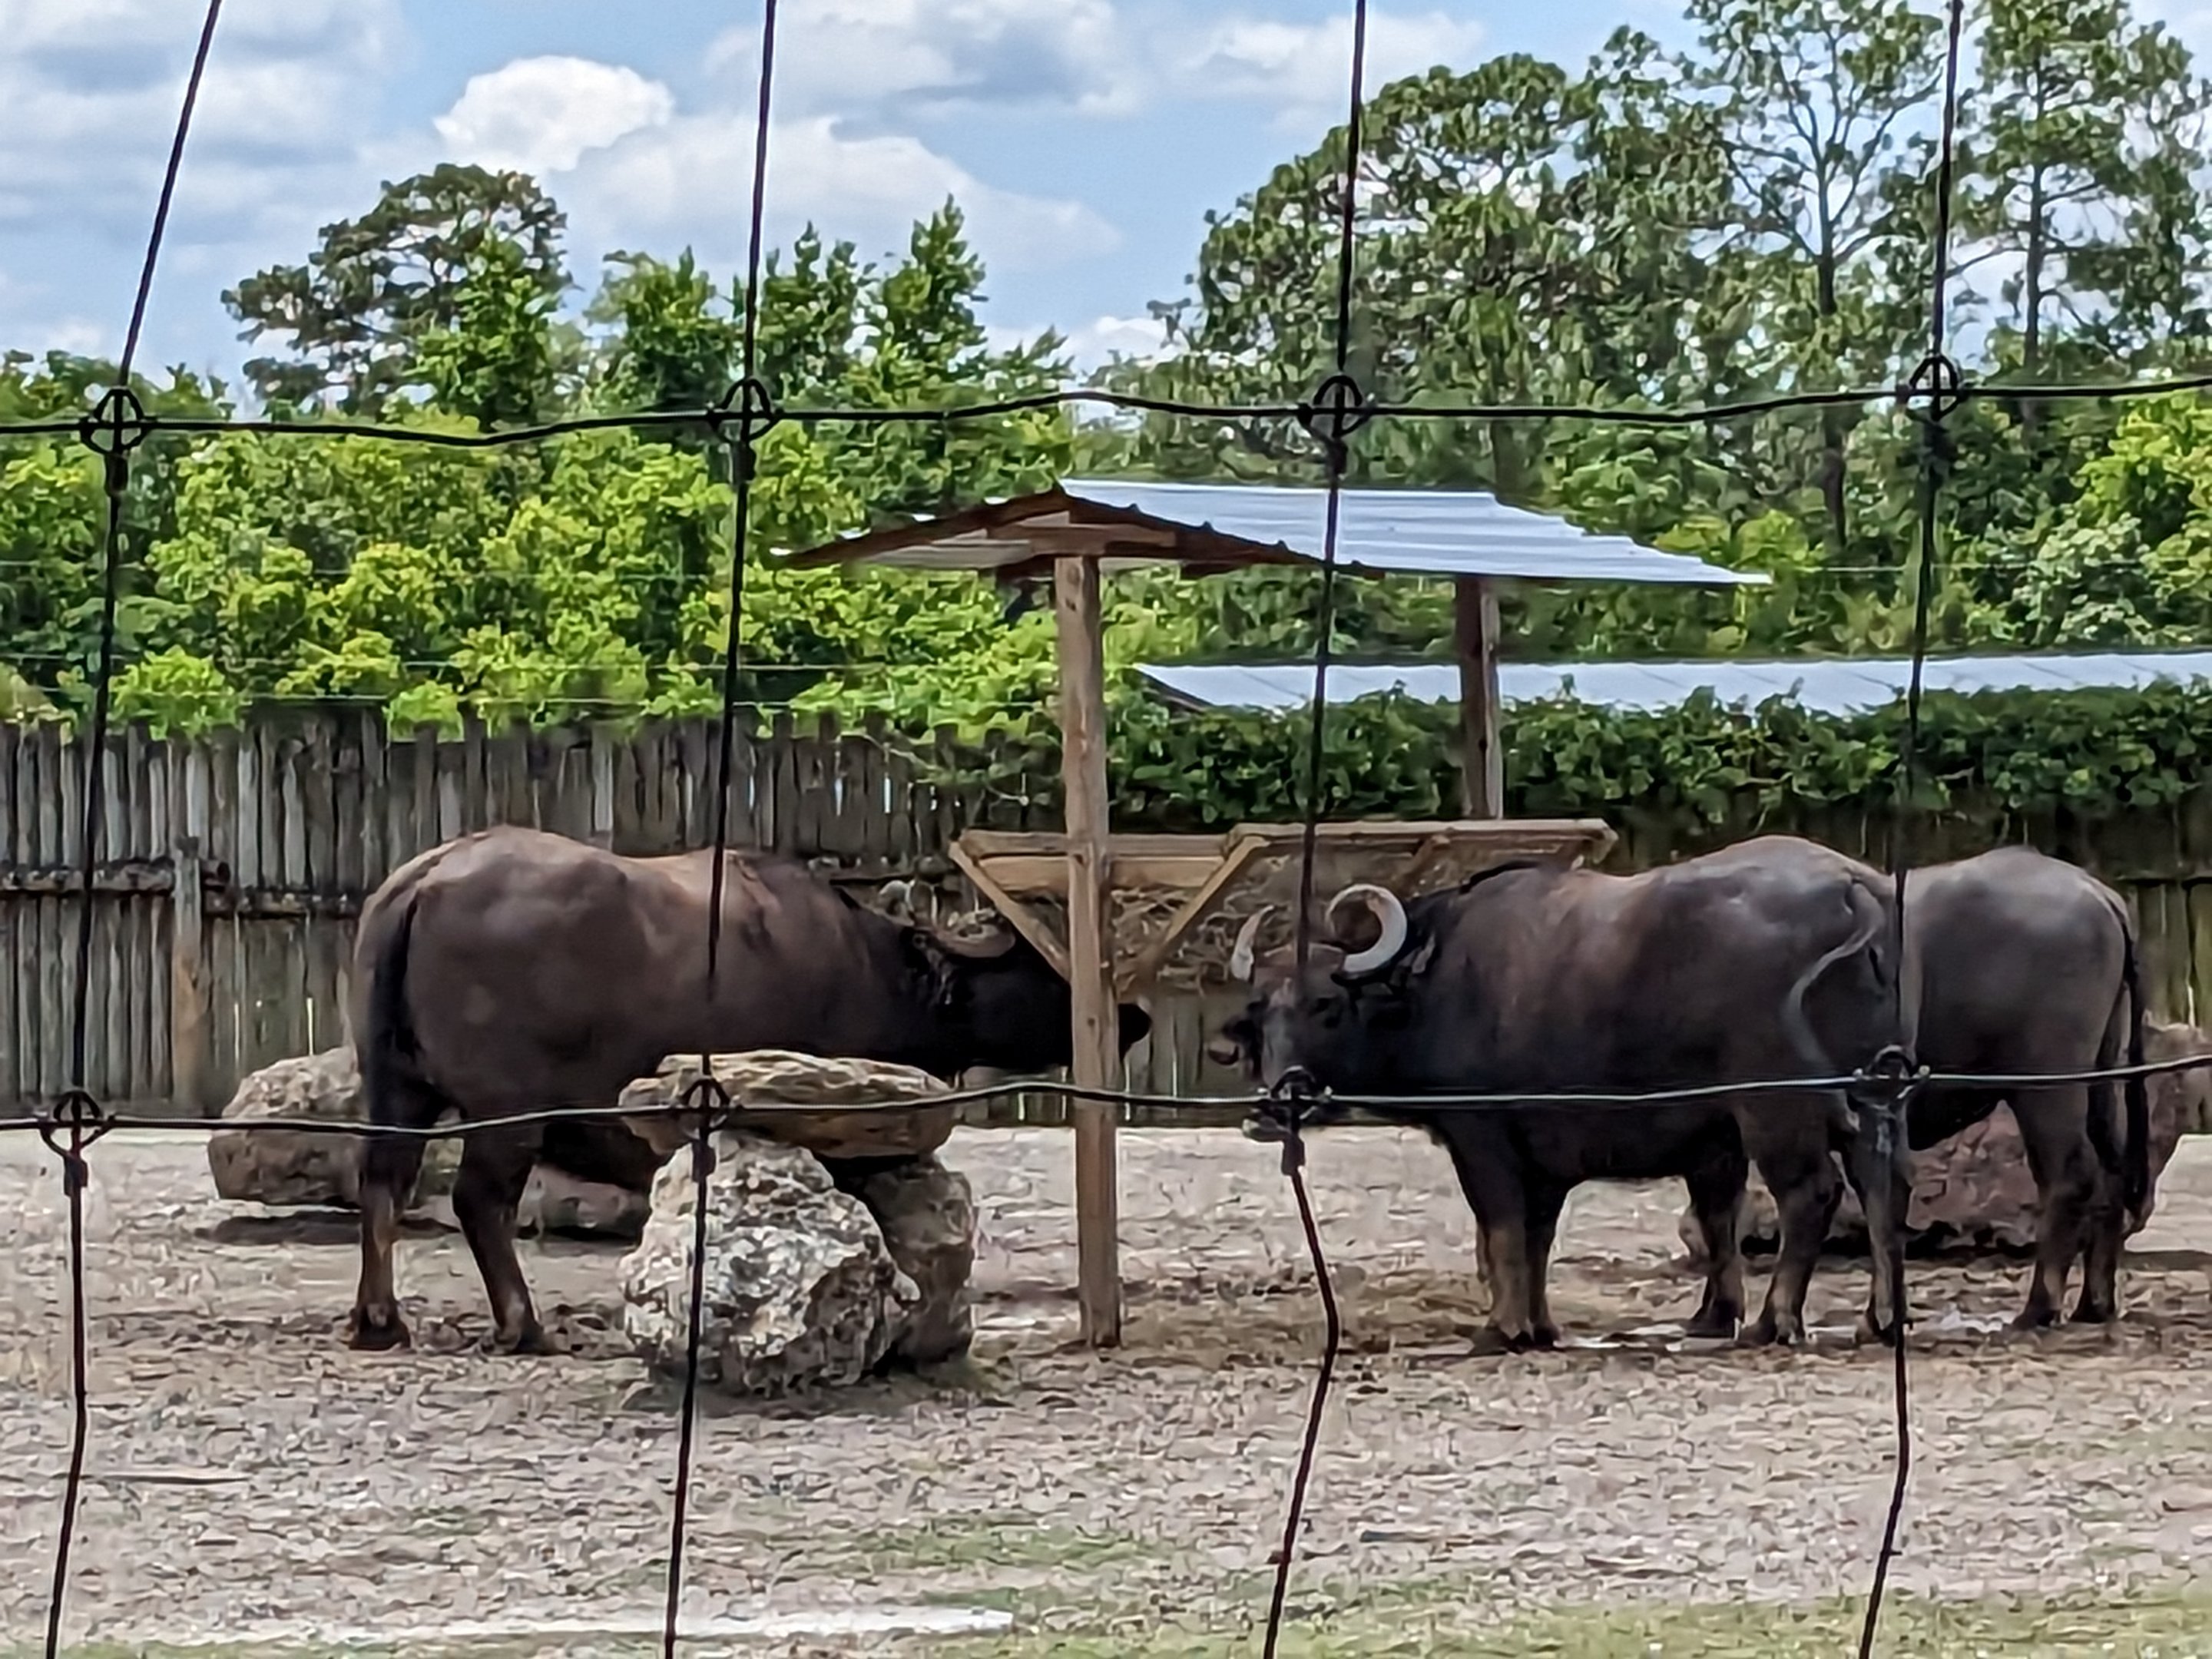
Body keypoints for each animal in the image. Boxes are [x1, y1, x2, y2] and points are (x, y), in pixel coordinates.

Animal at [345, 825, 1151, 1353]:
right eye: (1035, 965)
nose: (1133, 1016)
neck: (875, 969)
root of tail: (424, 881)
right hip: (508, 1112)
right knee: (479, 1202)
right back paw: (522, 1324)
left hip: (397, 1088)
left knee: (383, 1182)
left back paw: (380, 1319)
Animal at [1214, 836, 1907, 1351]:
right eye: (1259, 1012)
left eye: (1326, 1005)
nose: (1277, 1103)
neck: (1431, 981)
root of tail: (1854, 888)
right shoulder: (1548, 1156)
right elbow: (1537, 1236)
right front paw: (1539, 1324)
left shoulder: (1484, 1138)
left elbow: (1500, 1227)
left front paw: (1502, 1328)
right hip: (1875, 1098)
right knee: (1881, 1186)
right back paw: (1880, 1318)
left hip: (1777, 1107)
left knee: (1810, 1193)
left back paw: (1775, 1319)